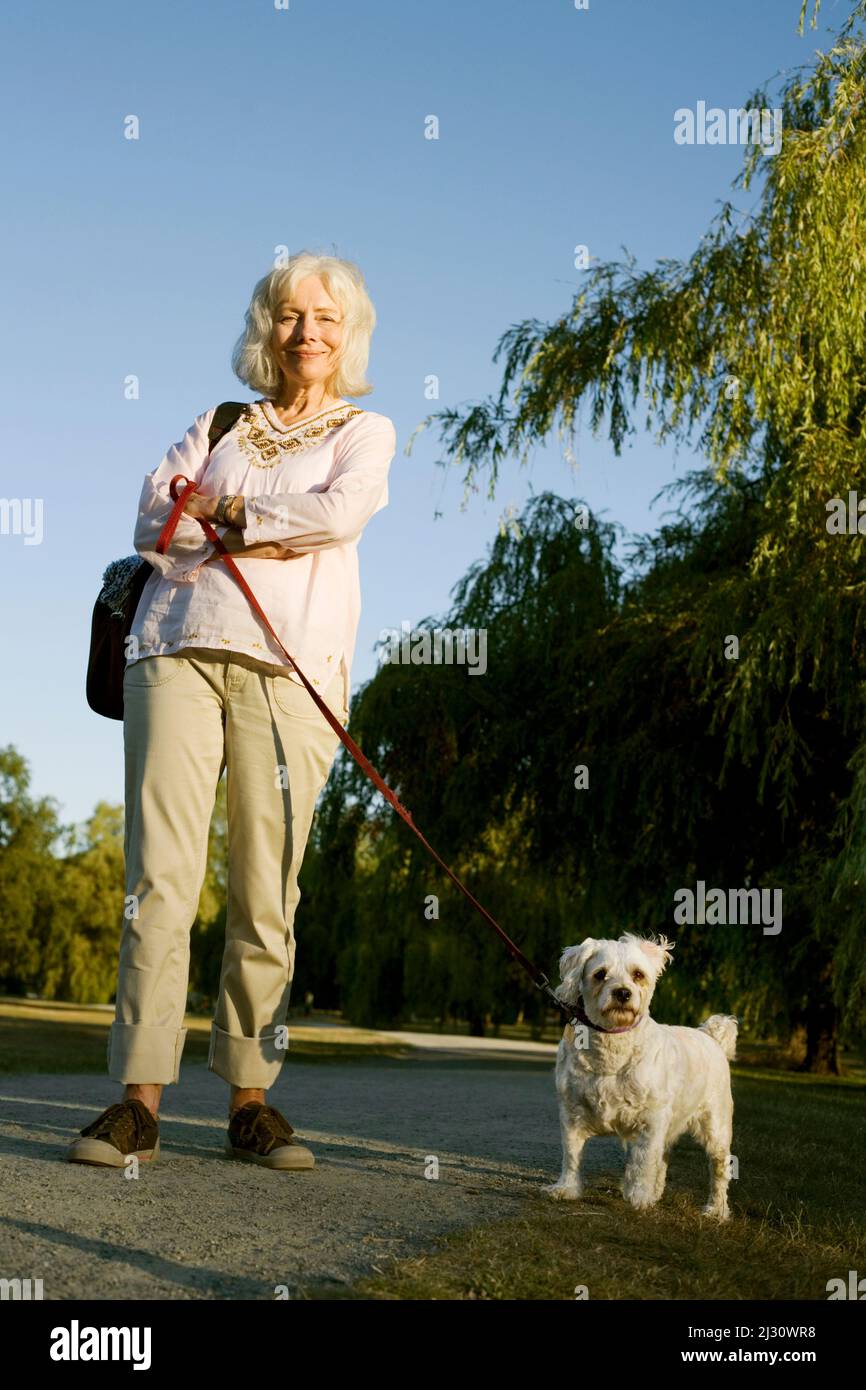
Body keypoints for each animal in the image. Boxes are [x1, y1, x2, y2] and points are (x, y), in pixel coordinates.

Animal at [544, 934, 733, 1217]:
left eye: (638, 974)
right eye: (600, 974)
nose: (623, 992)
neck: (612, 1048)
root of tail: (712, 1037)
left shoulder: (651, 1120)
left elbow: (643, 1162)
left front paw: (639, 1197)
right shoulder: (570, 1112)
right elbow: (571, 1155)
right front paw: (566, 1189)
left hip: (716, 1127)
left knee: (719, 1168)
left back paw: (716, 1210)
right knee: (663, 1161)